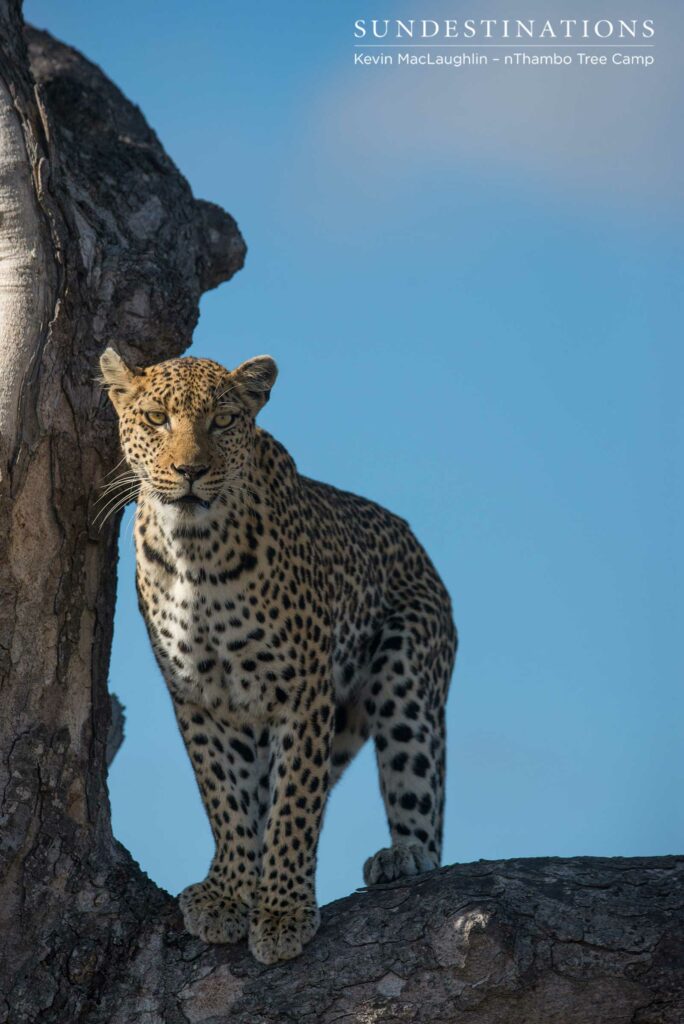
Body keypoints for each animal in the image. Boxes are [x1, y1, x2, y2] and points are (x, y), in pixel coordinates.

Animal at [100, 346, 457, 964]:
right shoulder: (198, 697)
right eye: (156, 419)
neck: (195, 550)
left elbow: (295, 805)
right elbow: (225, 796)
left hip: (408, 672)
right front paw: (229, 893)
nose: (191, 471)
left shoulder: (303, 691)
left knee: (419, 783)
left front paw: (284, 910)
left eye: (223, 421)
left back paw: (405, 855)